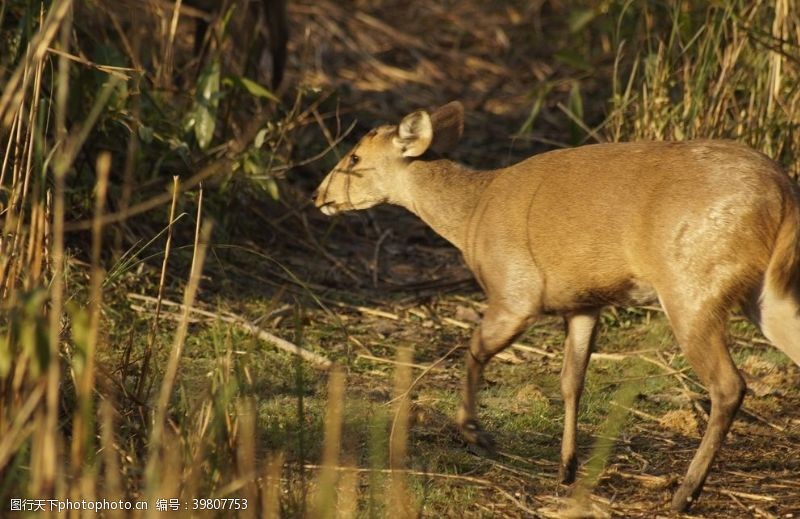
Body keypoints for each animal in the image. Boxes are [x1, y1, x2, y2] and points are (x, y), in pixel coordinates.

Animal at [310, 101, 800, 512]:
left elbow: (475, 349)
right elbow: (571, 380)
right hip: (761, 293)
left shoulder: (516, 291)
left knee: (728, 385)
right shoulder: (582, 302)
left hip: (690, 283)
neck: (471, 216)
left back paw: (684, 493)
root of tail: (783, 193)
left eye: (354, 158)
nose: (318, 195)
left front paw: (476, 433)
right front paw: (566, 468)